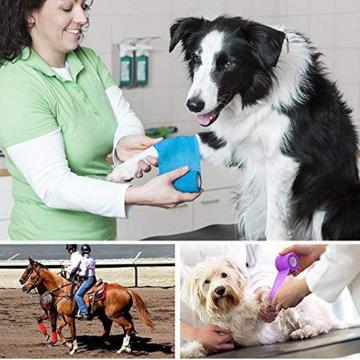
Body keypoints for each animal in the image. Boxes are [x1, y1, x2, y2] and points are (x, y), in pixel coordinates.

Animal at [20, 258, 153, 354]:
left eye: (31, 274)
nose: (23, 286)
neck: (62, 292)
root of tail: (127, 290)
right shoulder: (64, 316)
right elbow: (57, 328)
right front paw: (67, 344)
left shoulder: (64, 316)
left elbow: (71, 331)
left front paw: (72, 348)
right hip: (120, 314)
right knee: (127, 327)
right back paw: (124, 347)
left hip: (114, 315)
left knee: (127, 326)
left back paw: (122, 347)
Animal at [181, 256, 352, 358]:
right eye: (206, 282)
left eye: (224, 274)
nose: (220, 290)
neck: (230, 312)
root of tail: (331, 316)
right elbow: (199, 345)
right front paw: (185, 352)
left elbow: (262, 307)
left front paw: (267, 301)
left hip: (297, 311)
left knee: (322, 325)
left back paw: (303, 332)